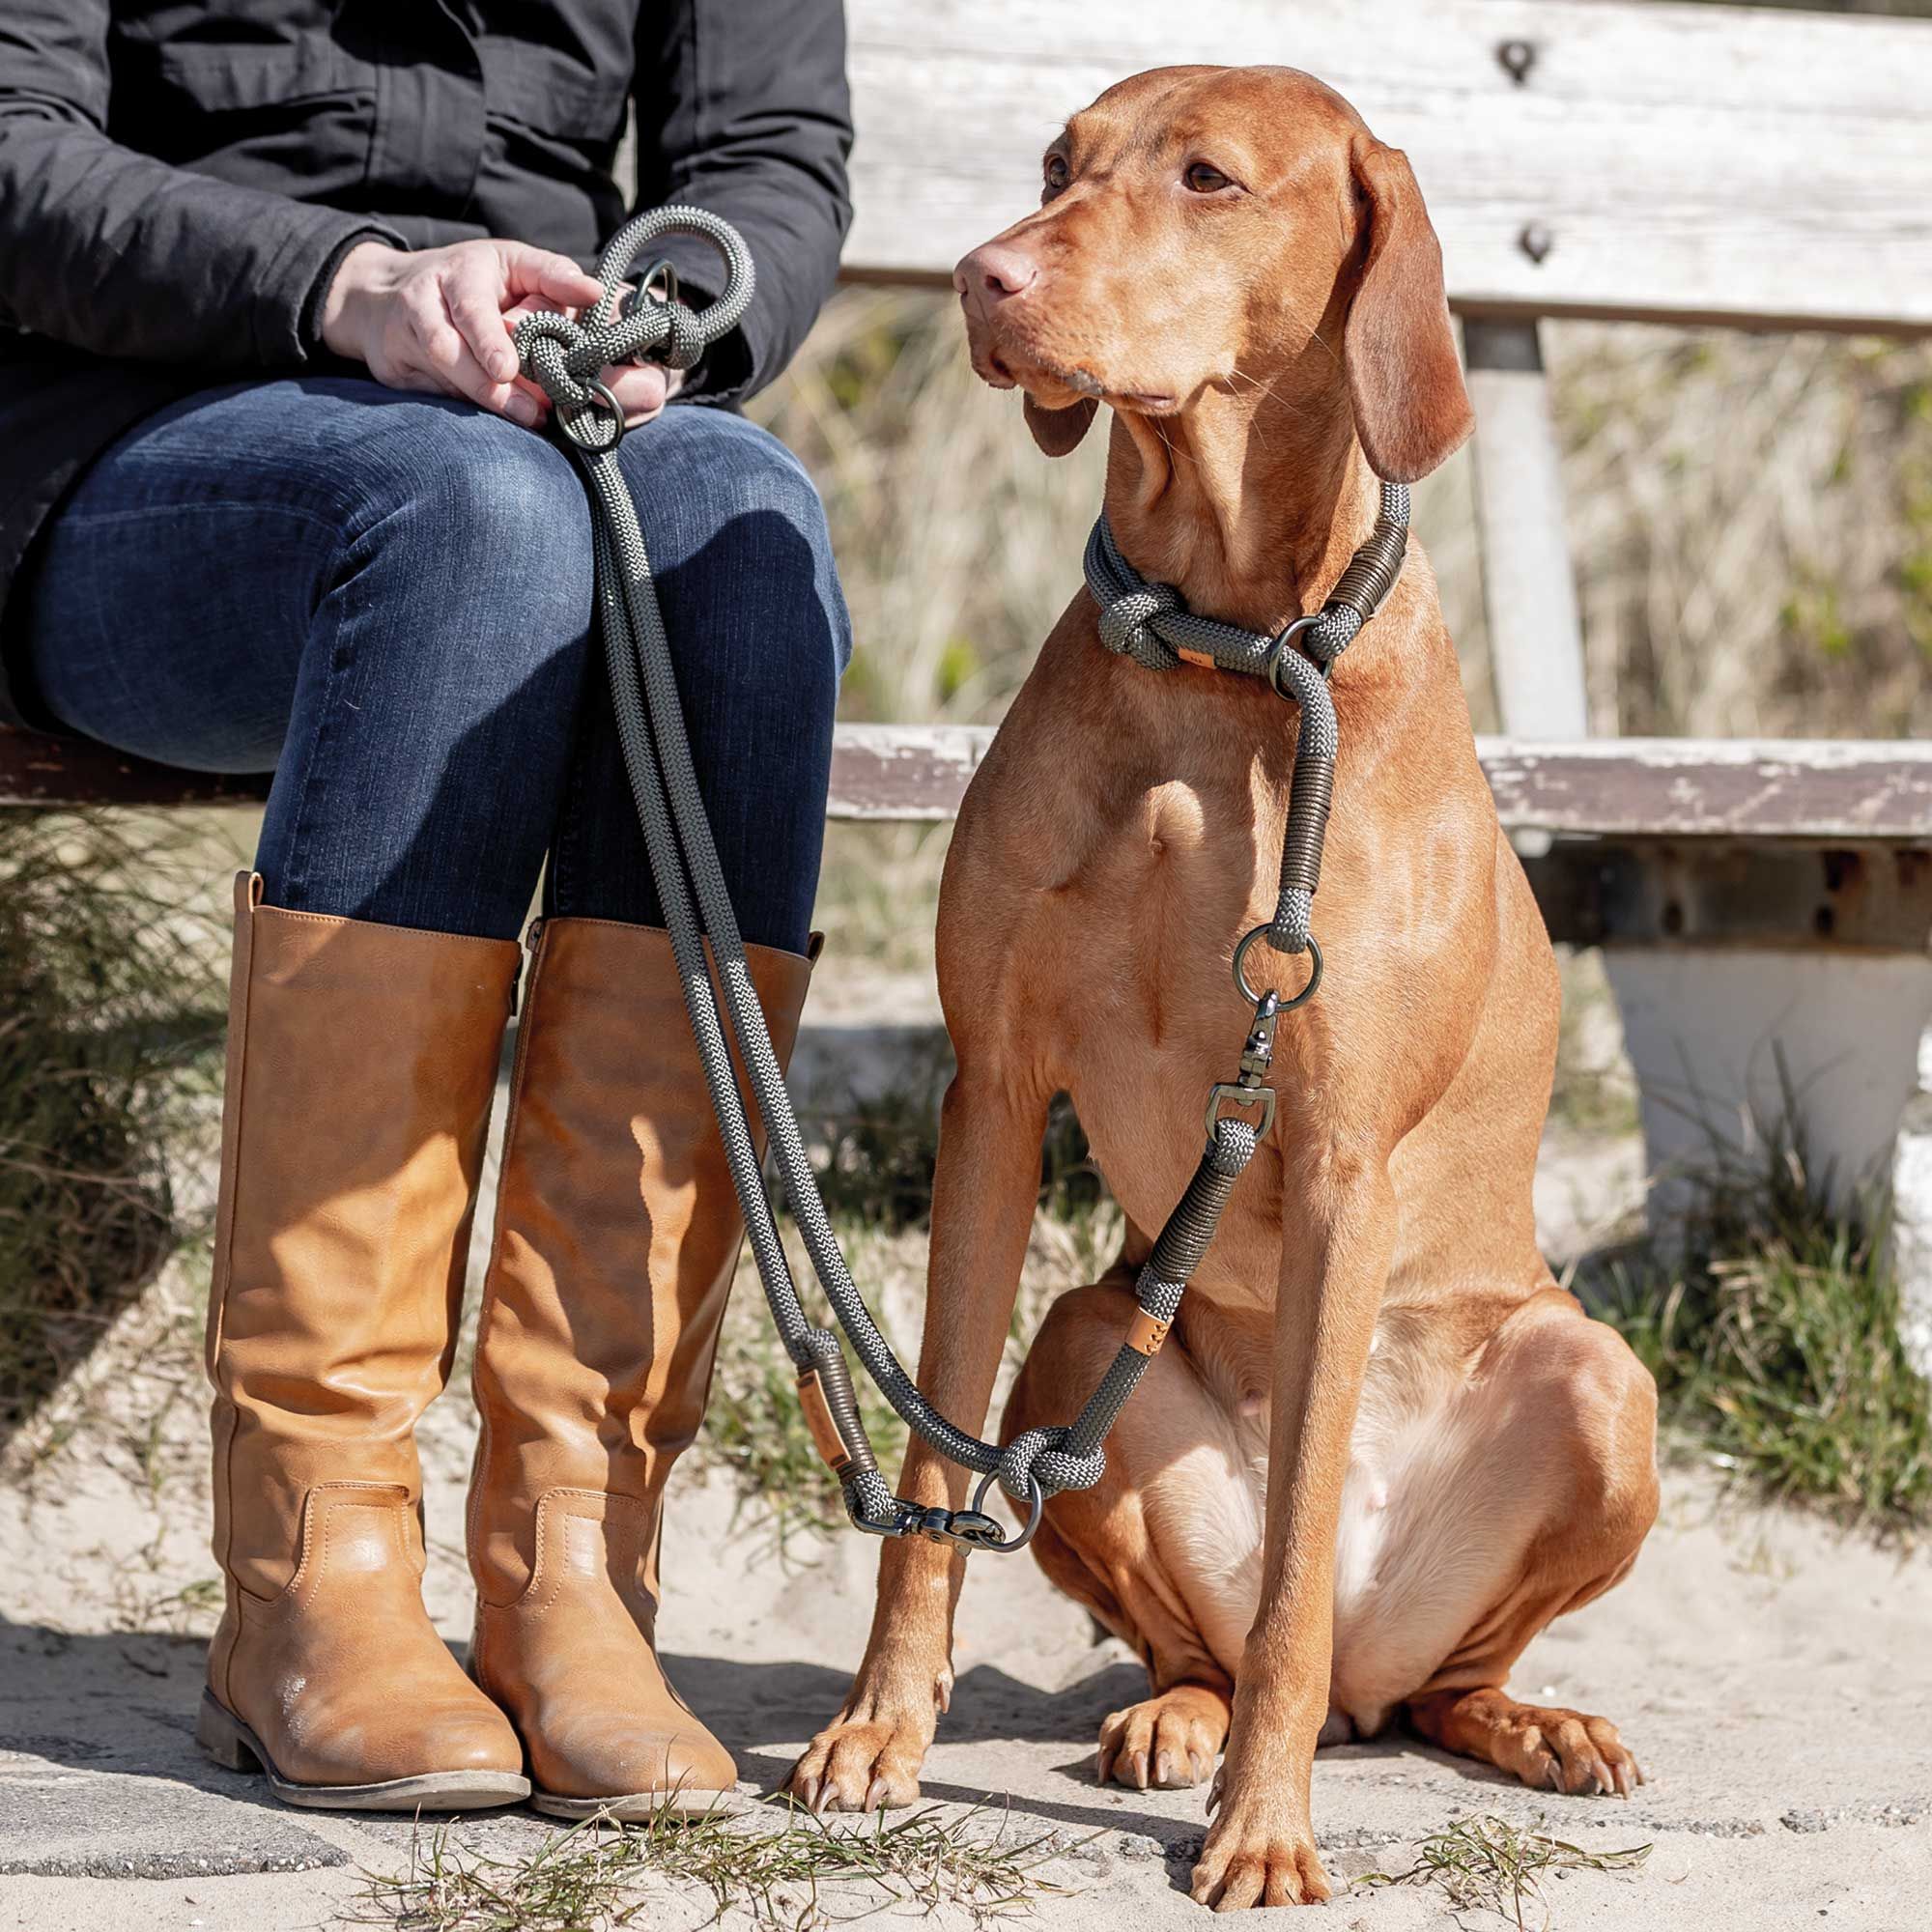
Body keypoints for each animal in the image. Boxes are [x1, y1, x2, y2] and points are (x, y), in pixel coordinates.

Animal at [784, 68, 1662, 1909]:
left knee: (1411, 1666)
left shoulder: (1336, 1161)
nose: (980, 275)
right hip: (1084, 1335)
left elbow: (1292, 1572)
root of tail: (1383, 1674)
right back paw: (1177, 1719)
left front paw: (1264, 1831)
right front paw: (879, 1730)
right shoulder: (992, 1089)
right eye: (1057, 162)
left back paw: (1519, 1725)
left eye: (1208, 180)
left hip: (1599, 1382)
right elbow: (933, 1463)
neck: (1226, 653)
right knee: (1188, 1618)